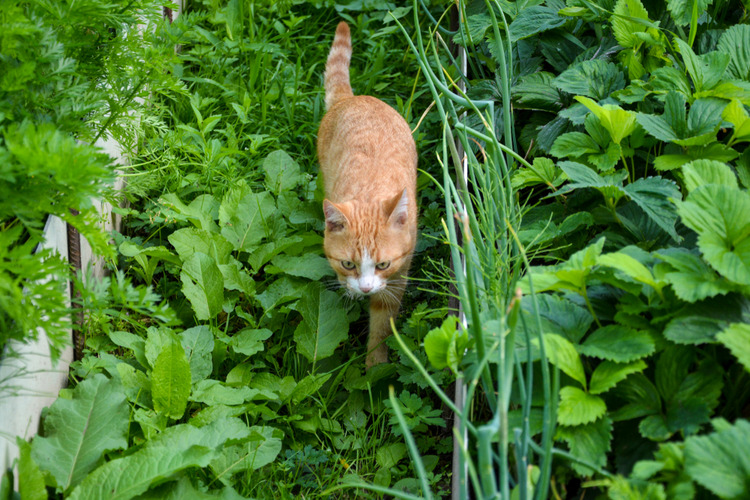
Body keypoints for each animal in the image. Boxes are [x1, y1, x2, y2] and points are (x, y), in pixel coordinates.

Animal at [318, 21, 420, 370]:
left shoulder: (398, 275)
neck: (370, 190)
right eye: (348, 263)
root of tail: (352, 99)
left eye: (383, 263)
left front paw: (376, 366)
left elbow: (382, 324)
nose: (363, 288)